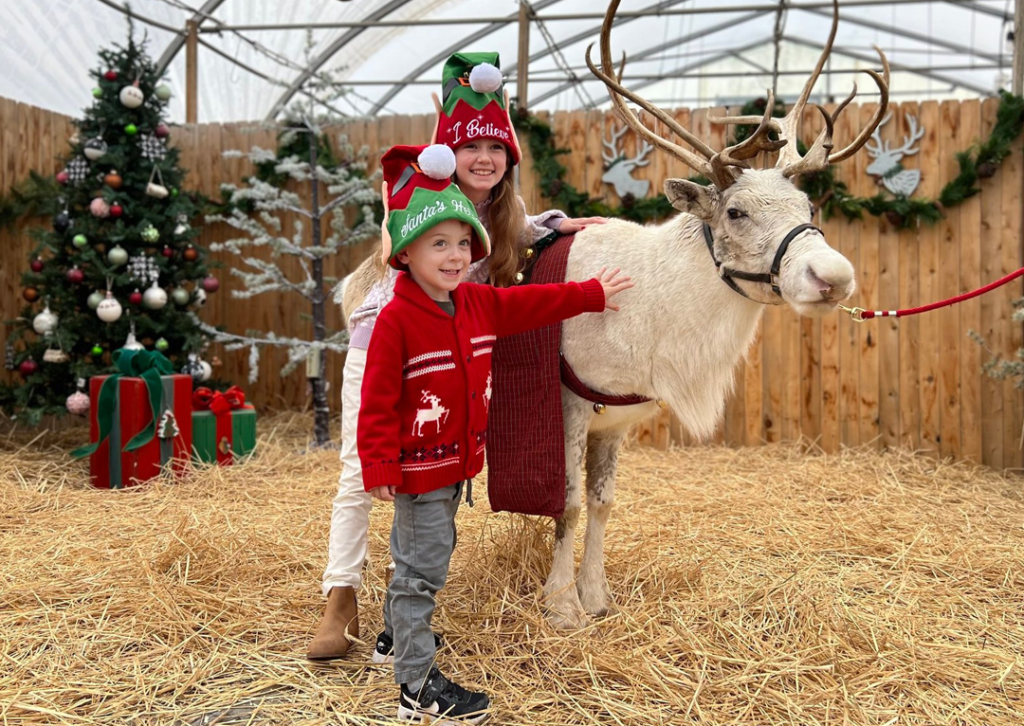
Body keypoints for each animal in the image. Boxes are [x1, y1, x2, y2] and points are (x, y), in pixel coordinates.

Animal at [338, 0, 888, 629]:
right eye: (737, 211)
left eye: (809, 206)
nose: (833, 276)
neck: (649, 313)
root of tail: (354, 281)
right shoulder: (568, 407)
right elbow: (569, 505)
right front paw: (561, 604)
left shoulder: (616, 422)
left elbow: (602, 504)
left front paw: (596, 595)